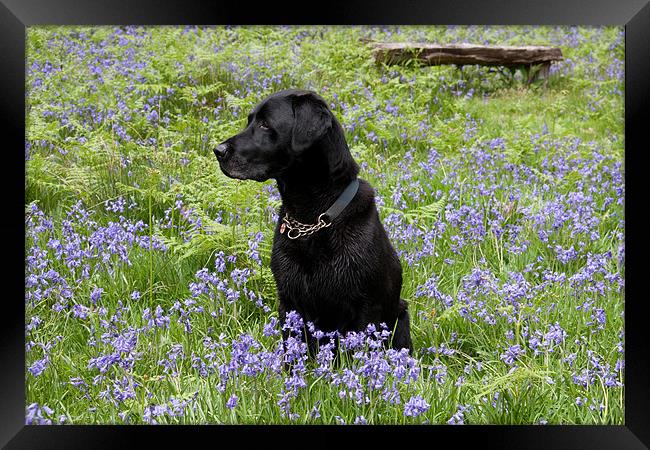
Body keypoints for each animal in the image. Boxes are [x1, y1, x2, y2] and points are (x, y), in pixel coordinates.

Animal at [215, 89, 412, 354]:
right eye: (250, 121)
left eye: (265, 124)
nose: (218, 150)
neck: (310, 218)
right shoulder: (289, 300)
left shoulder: (366, 306)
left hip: (400, 316)